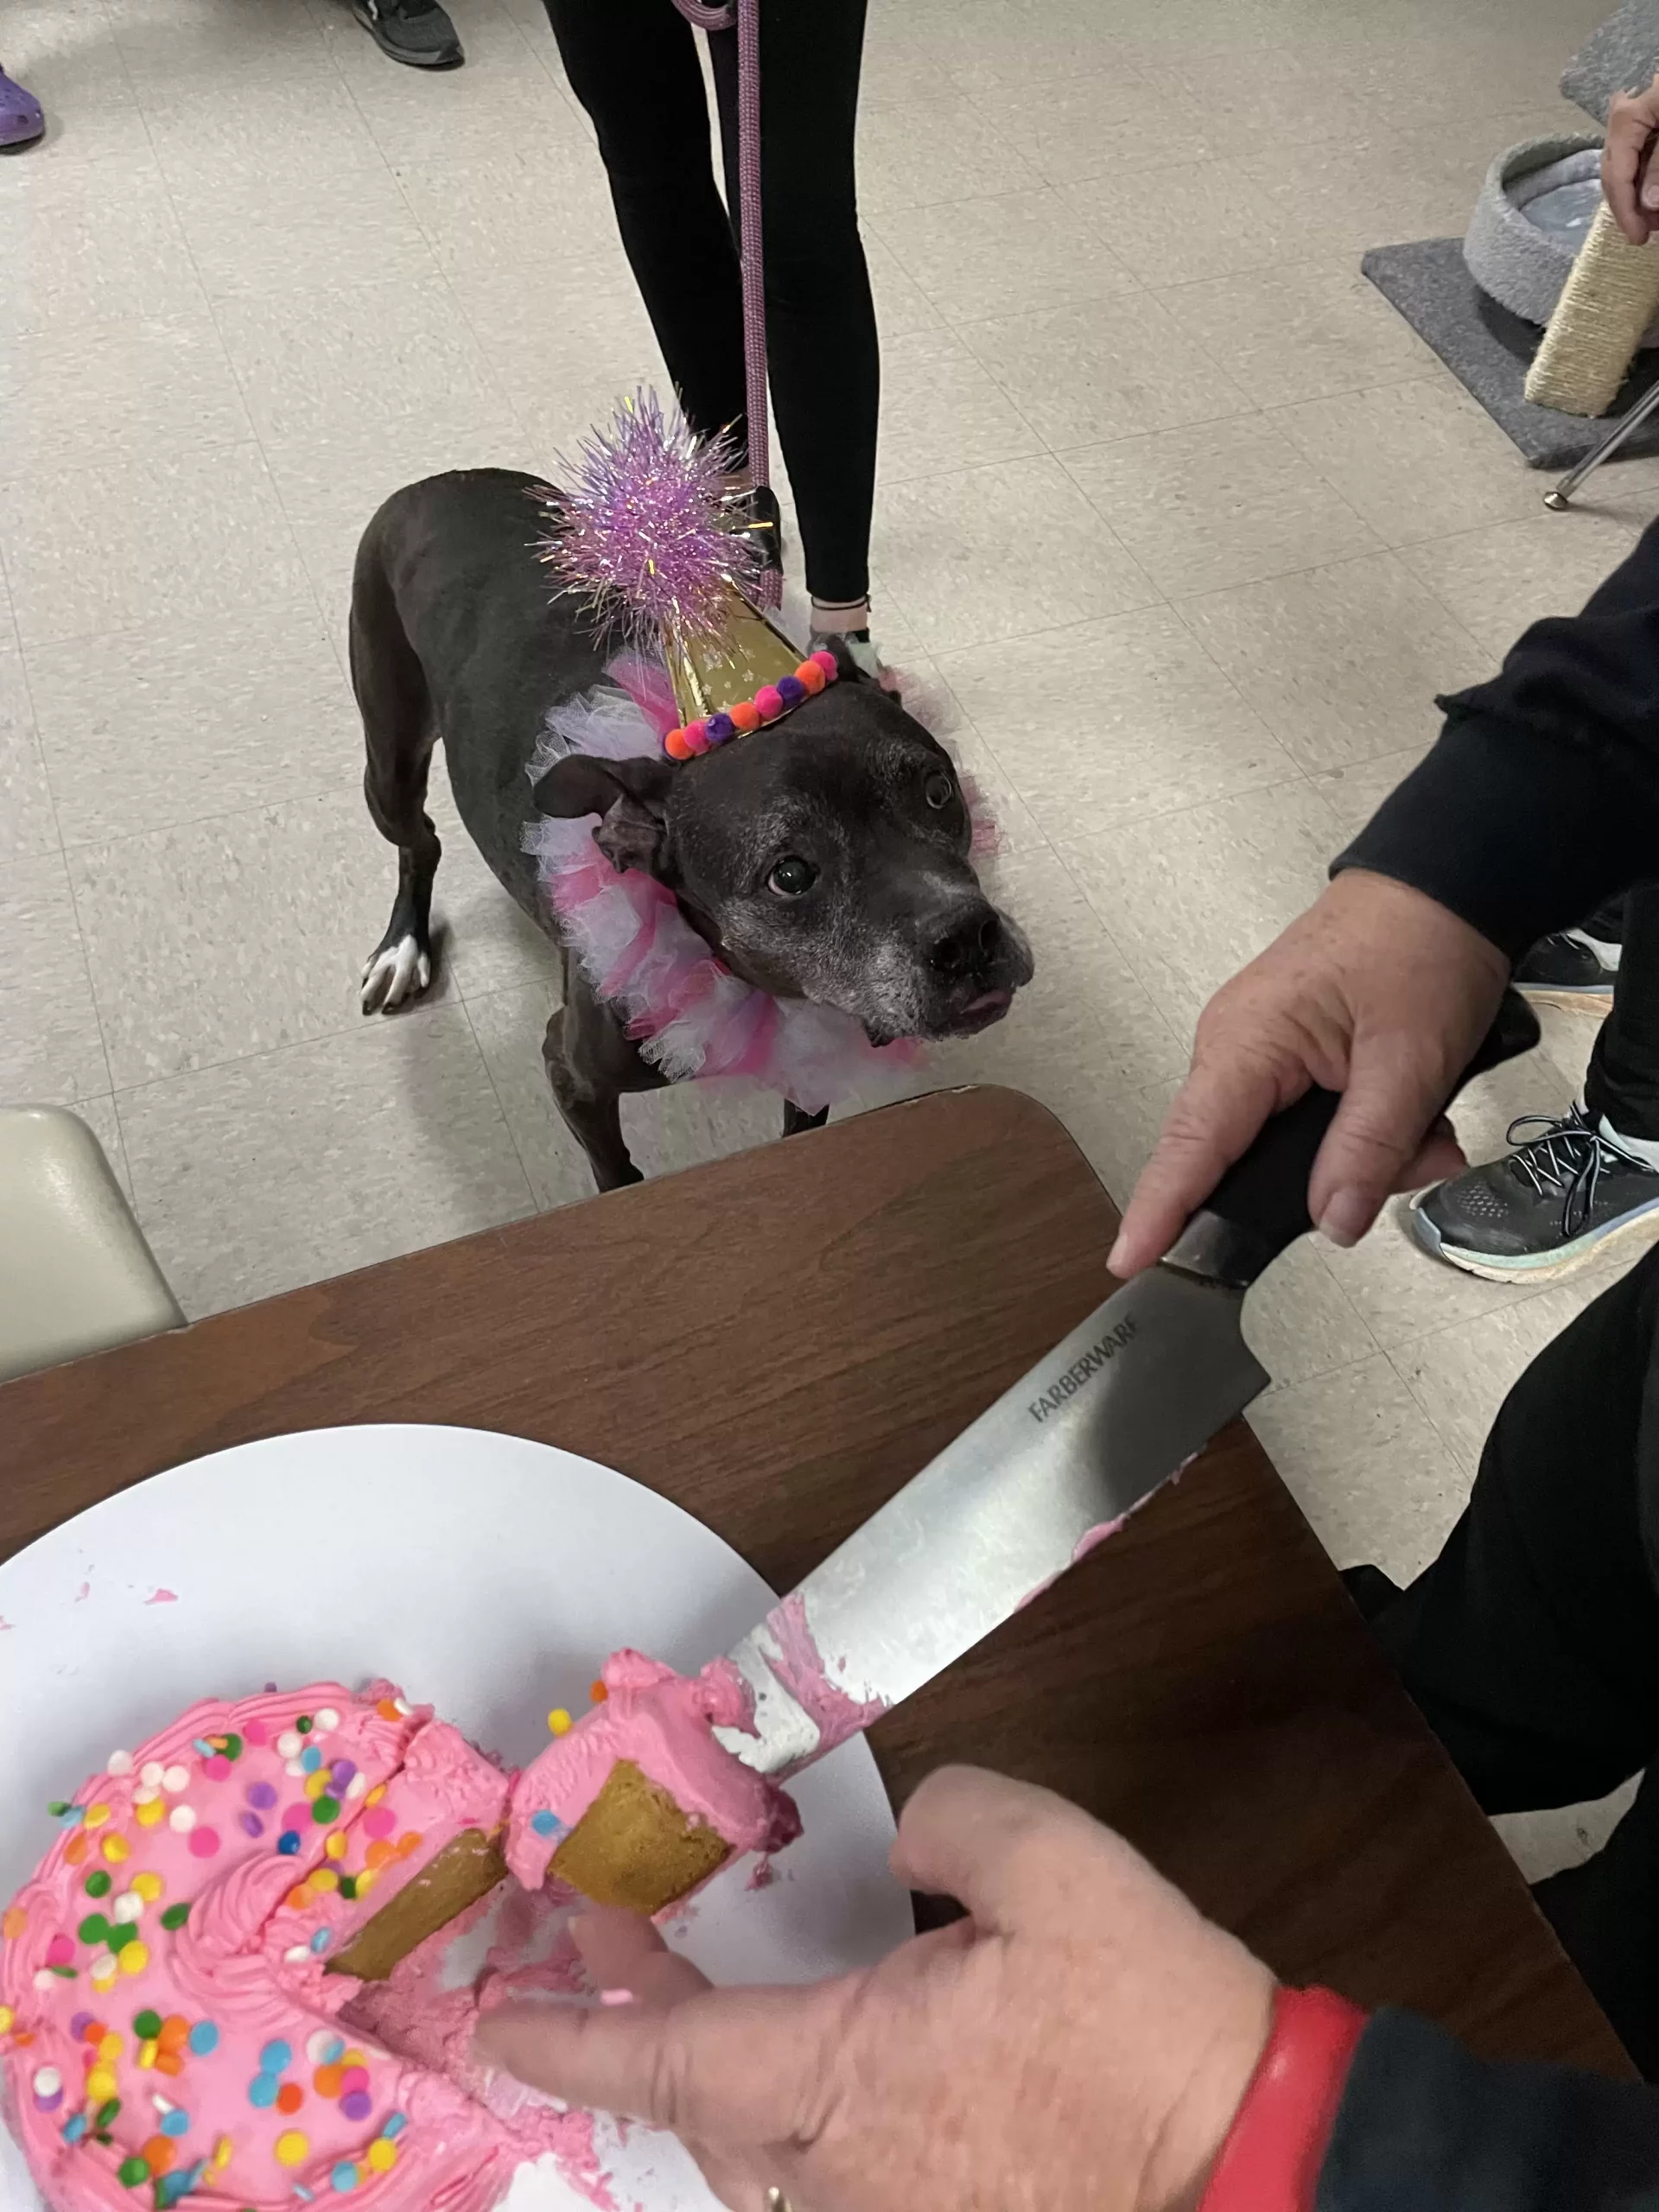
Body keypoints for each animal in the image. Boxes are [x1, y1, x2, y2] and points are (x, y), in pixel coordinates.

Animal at [352, 467, 1035, 1194]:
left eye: (937, 790)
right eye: (790, 875)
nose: (967, 937)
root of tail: (440, 480)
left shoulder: (810, 1062)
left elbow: (803, 1129)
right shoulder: (572, 1075)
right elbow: (617, 1175)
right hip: (388, 758)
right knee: (420, 839)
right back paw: (403, 948)